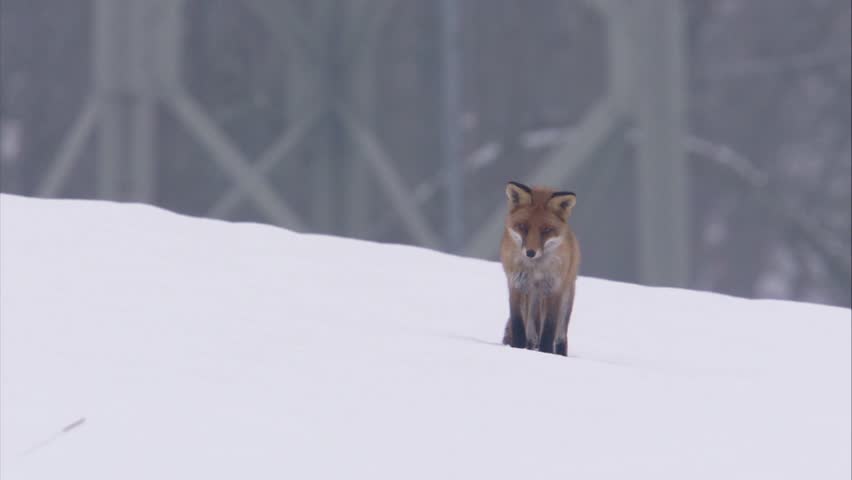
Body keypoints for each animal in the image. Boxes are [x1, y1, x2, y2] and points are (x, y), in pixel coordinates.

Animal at [500, 181, 580, 356]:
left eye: (546, 230)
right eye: (523, 226)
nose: (530, 252)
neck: (534, 270)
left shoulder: (554, 289)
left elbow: (549, 328)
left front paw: (546, 353)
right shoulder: (516, 285)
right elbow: (517, 324)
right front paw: (517, 348)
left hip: (565, 300)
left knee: (560, 335)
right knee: (531, 331)